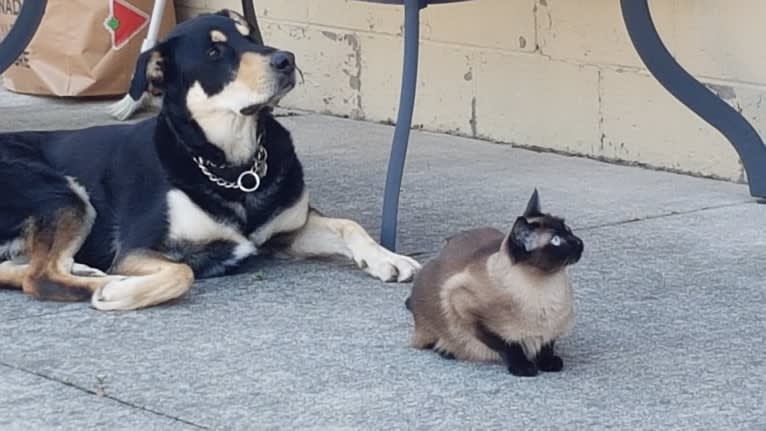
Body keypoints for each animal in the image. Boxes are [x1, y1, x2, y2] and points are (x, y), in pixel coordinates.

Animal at [0, 10, 420, 310]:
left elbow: (348, 225)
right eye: (215, 52)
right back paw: (105, 284)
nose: (286, 59)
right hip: (61, 191)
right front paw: (121, 290)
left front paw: (387, 257)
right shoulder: (139, 248)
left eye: (250, 37)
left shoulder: (287, 231)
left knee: (21, 270)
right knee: (39, 277)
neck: (237, 167)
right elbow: (182, 270)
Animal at [412, 191, 584, 376]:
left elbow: (547, 345)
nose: (580, 242)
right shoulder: (462, 305)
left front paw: (548, 363)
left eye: (568, 229)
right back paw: (445, 350)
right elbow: (509, 346)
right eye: (556, 240)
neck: (548, 288)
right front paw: (523, 367)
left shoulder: (552, 327)